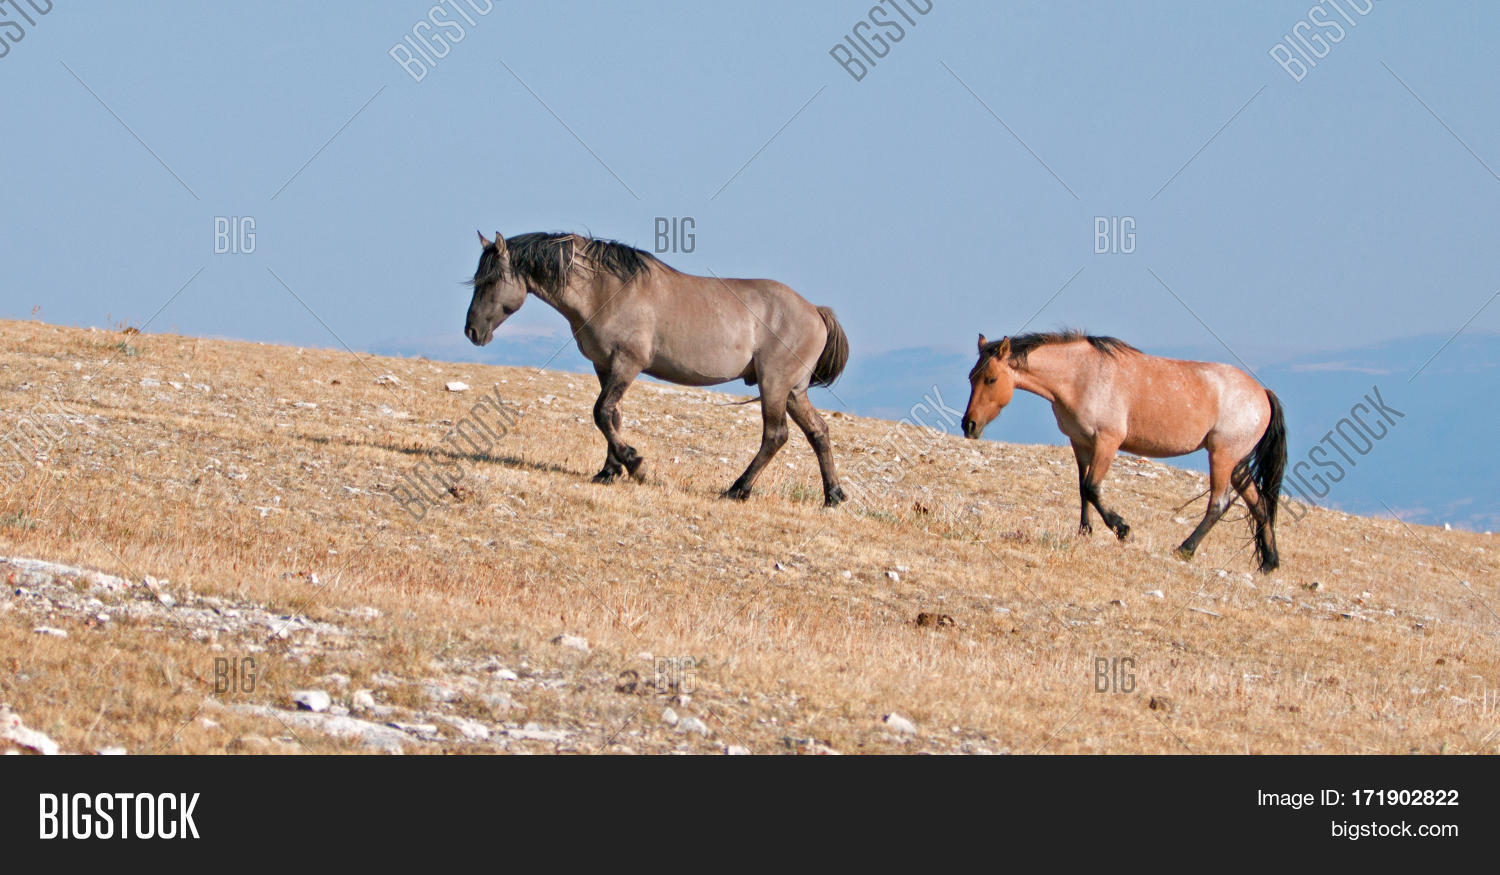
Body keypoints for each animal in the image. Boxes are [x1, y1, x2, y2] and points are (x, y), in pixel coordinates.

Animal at [464, 231, 850, 506]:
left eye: (490, 280)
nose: (472, 332)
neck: (607, 290)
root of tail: (815, 311)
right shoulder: (605, 366)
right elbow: (612, 415)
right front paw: (609, 471)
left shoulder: (627, 364)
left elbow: (601, 412)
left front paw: (633, 463)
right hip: (793, 391)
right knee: (818, 433)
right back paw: (832, 495)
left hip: (774, 385)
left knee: (775, 436)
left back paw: (737, 490)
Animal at [959, 331, 1286, 572]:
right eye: (971, 377)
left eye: (990, 379)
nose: (969, 425)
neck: (1081, 376)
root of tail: (1263, 393)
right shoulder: (1081, 443)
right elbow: (1082, 488)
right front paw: (1085, 531)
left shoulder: (1107, 442)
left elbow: (1093, 487)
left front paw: (1121, 529)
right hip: (1237, 464)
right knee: (1259, 505)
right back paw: (1269, 563)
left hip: (1221, 457)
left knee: (1218, 504)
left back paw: (1185, 549)